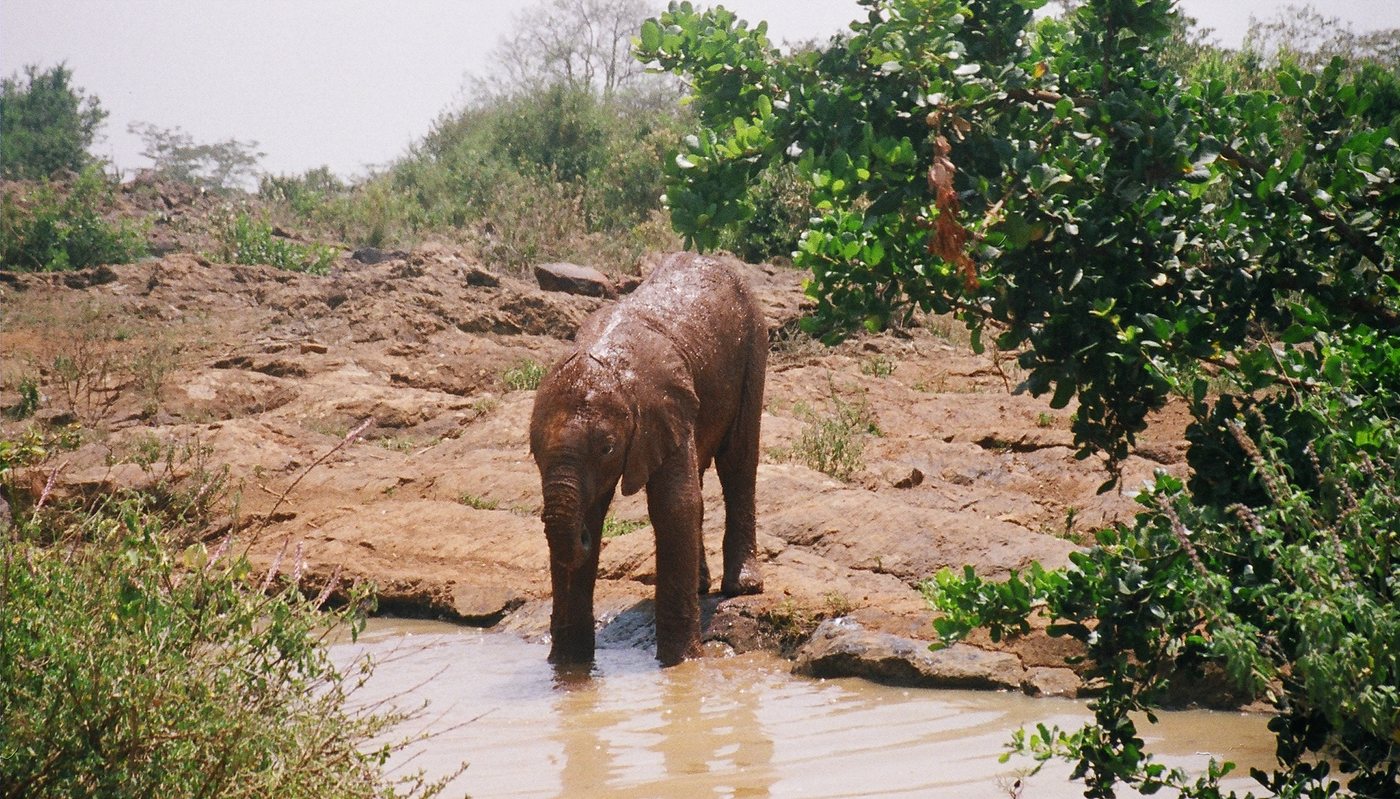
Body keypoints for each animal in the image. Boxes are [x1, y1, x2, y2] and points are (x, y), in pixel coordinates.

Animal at [528, 252, 767, 667]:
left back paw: (743, 587)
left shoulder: (663, 407)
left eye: (607, 449)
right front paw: (568, 669)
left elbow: (674, 506)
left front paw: (680, 664)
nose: (584, 538)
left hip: (755, 340)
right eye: (534, 453)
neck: (610, 367)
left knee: (738, 460)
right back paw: (701, 585)